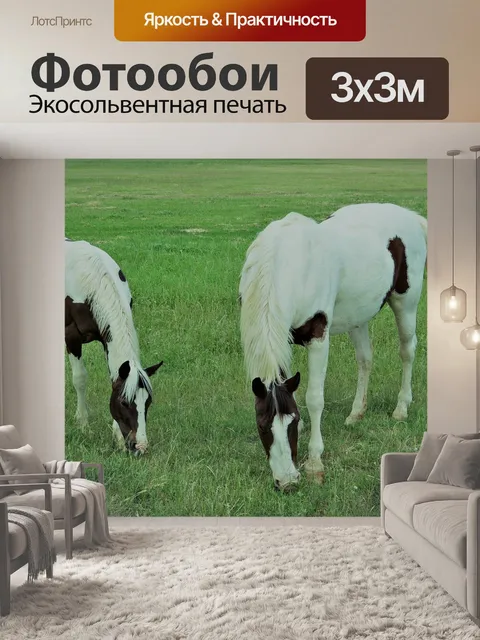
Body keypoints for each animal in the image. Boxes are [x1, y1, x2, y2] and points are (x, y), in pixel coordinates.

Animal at [65, 238, 163, 455]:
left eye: (148, 402)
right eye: (124, 402)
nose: (139, 446)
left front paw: (117, 436)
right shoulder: (71, 337)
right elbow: (80, 379)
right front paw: (83, 424)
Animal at [239, 203, 427, 492]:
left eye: (291, 421)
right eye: (262, 427)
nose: (287, 482)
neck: (288, 263)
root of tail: (411, 216)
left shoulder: (319, 338)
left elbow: (315, 398)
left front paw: (315, 462)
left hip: (406, 303)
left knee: (407, 351)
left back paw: (401, 408)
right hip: (358, 317)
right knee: (365, 360)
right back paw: (357, 412)